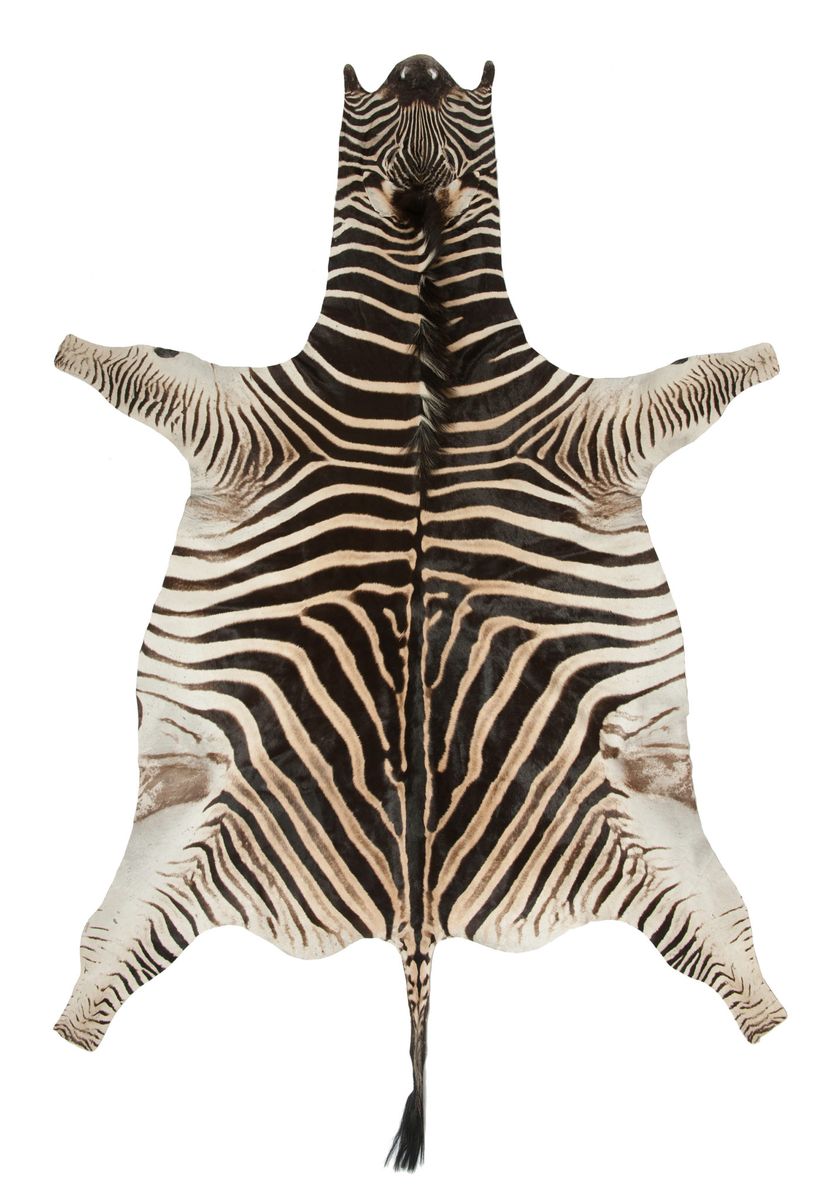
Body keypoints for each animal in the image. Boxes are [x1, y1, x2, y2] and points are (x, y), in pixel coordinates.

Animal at [53, 54, 785, 1171]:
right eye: (381, 99)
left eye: (457, 102)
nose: (419, 64)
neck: (421, 321)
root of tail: (414, 914)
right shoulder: (243, 416)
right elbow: (139, 360)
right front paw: (67, 347)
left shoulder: (591, 423)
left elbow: (693, 375)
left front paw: (763, 355)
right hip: (185, 836)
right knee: (108, 949)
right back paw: (71, 1022)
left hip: (646, 832)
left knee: (722, 938)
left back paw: (767, 1010)